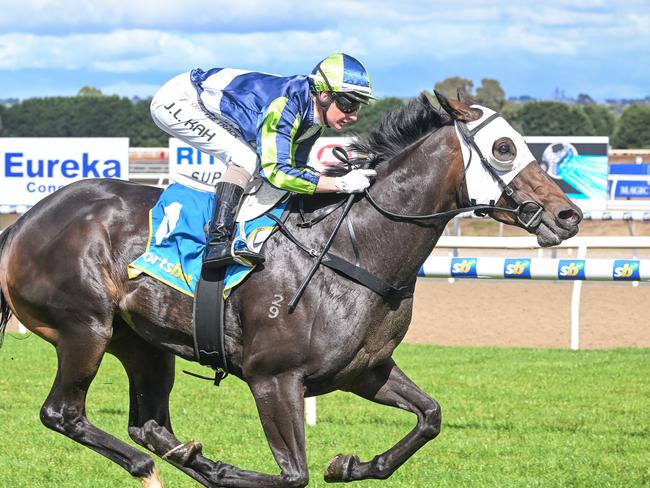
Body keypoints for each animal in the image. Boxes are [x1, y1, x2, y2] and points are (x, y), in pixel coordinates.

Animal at [0, 90, 580, 484]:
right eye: (503, 148)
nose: (568, 215)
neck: (356, 247)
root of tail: (27, 219)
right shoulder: (273, 378)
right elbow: (292, 475)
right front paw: (234, 472)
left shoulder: (363, 371)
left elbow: (431, 417)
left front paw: (349, 464)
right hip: (85, 328)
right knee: (64, 414)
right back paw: (153, 466)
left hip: (143, 343)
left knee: (150, 426)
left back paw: (182, 455)